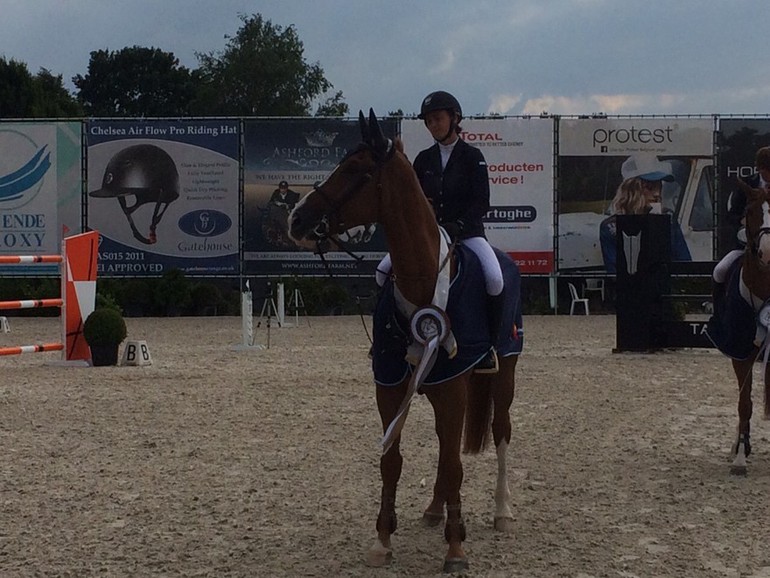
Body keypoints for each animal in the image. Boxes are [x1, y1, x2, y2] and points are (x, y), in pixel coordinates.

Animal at [288, 109, 520, 572]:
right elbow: (392, 461)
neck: (423, 277)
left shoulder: (453, 387)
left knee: (500, 431)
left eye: (353, 170)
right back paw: (434, 510)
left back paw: (502, 512)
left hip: (504, 372)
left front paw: (456, 548)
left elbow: (453, 464)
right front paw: (383, 540)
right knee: (444, 443)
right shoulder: (392, 383)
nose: (296, 219)